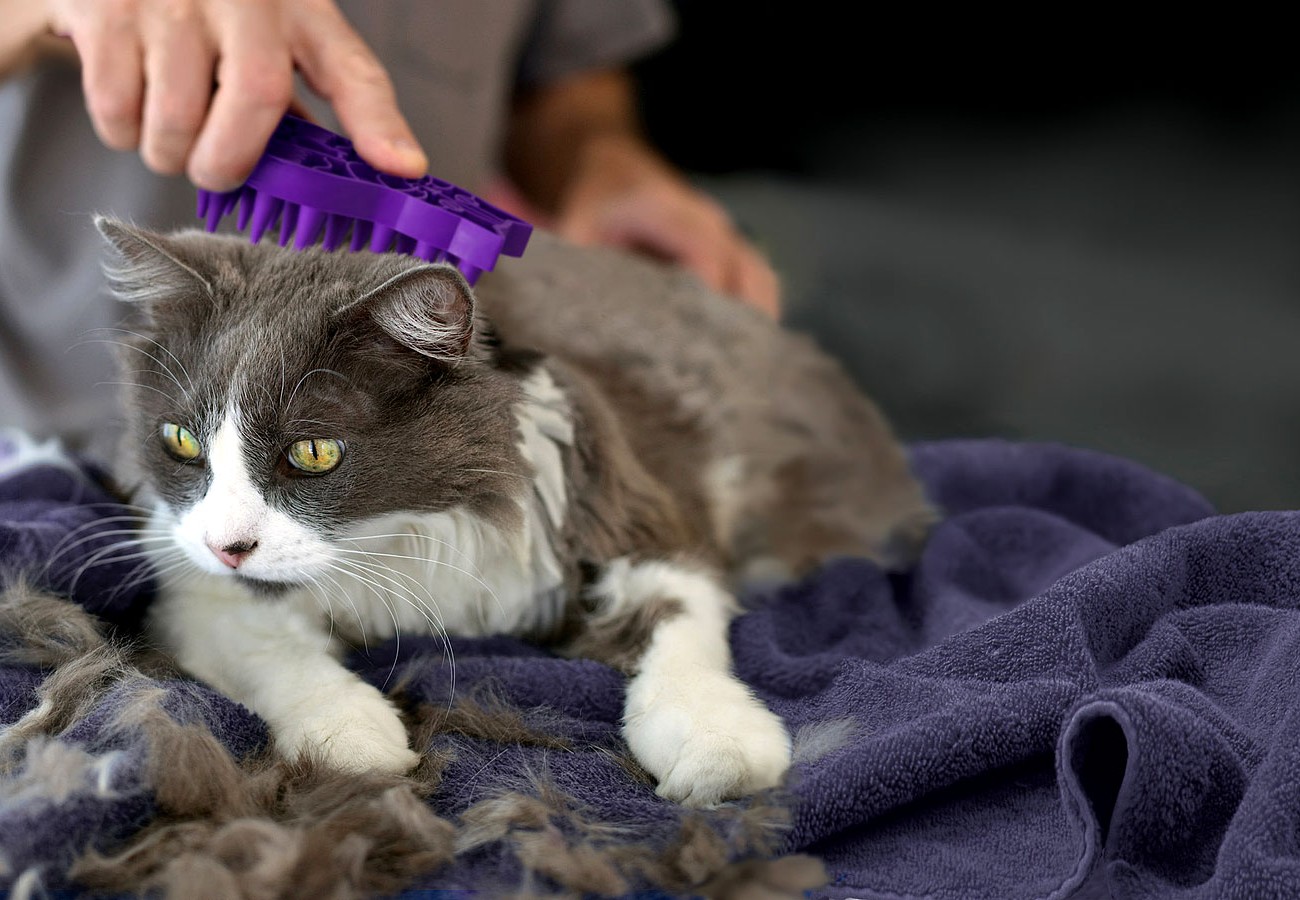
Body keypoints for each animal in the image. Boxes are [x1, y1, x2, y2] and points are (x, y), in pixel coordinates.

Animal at [98, 219, 935, 806]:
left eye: (313, 453)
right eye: (180, 441)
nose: (228, 544)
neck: (402, 533)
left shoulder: (641, 519)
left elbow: (681, 629)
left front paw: (720, 747)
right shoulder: (191, 585)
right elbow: (270, 647)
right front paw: (354, 737)